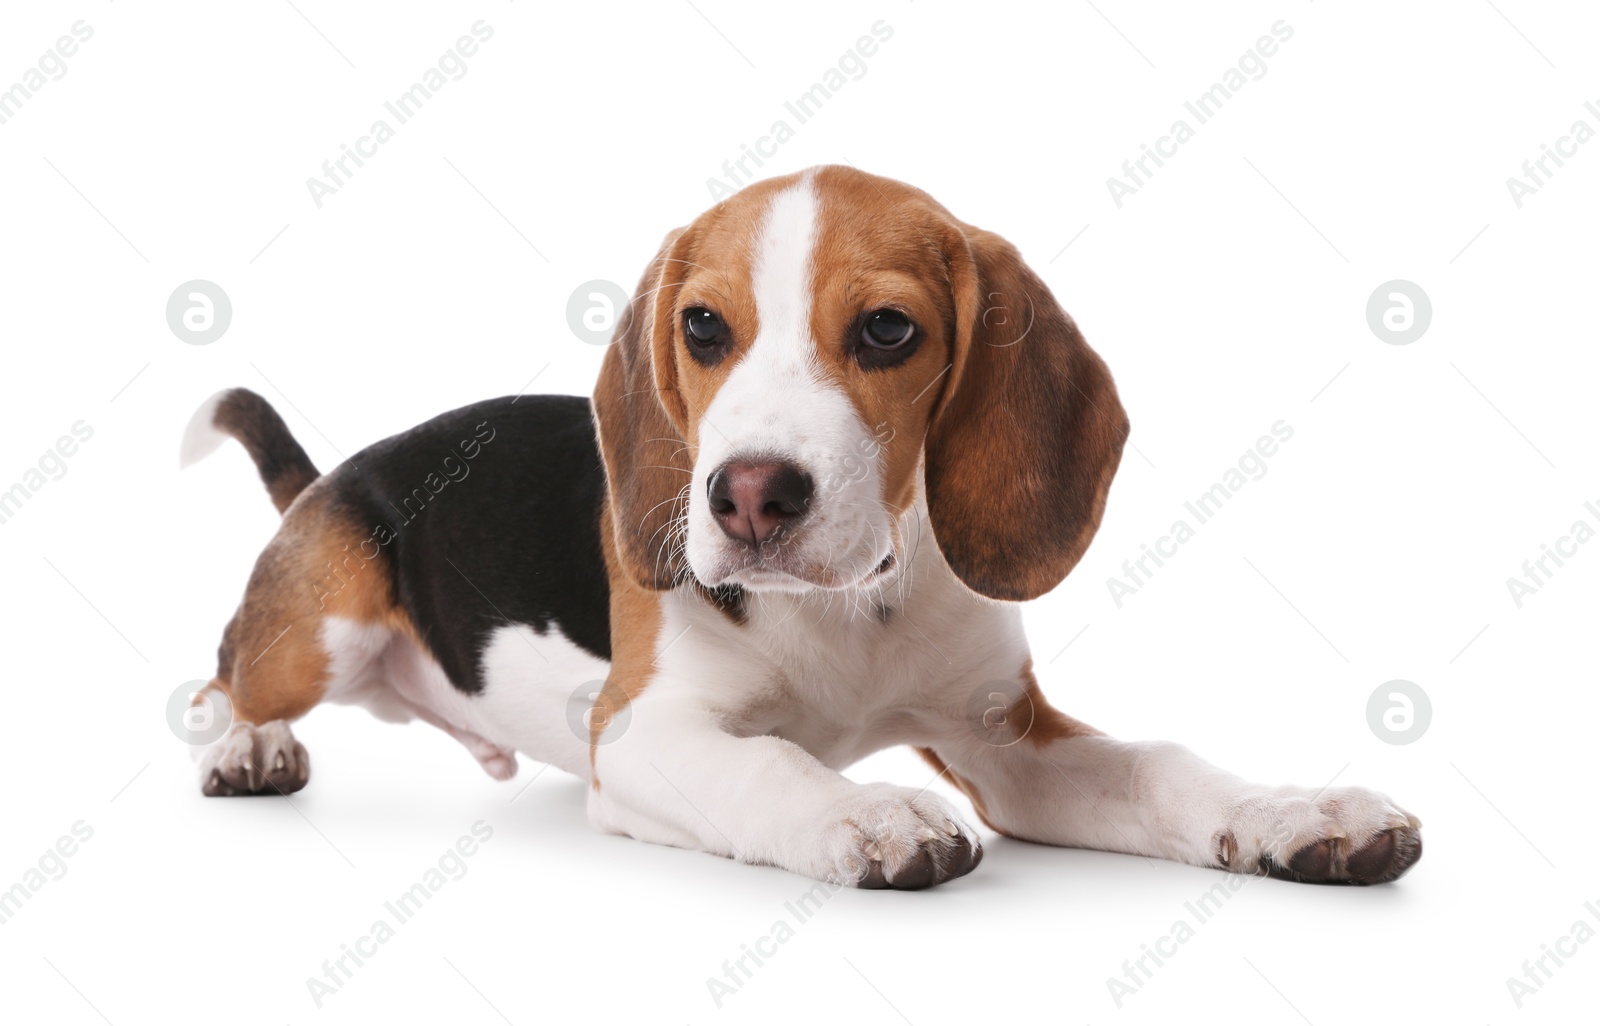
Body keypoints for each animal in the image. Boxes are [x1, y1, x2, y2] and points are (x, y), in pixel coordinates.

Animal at [181, 164, 1420, 883]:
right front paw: (866, 813)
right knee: (221, 674)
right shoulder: (641, 733)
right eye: (701, 326)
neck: (849, 604)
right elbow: (771, 764)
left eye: (886, 329)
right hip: (321, 631)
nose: (746, 497)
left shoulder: (1004, 739)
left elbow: (1162, 766)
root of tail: (338, 472)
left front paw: (1294, 809)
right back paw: (247, 742)